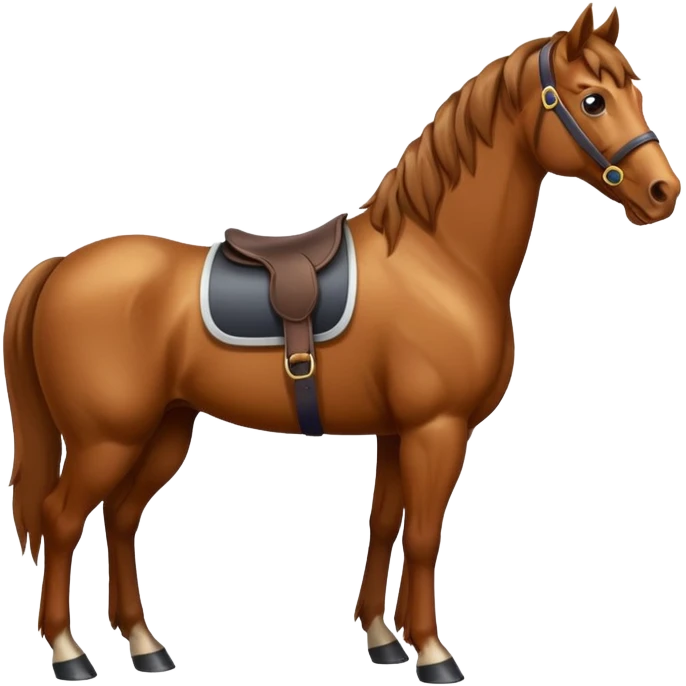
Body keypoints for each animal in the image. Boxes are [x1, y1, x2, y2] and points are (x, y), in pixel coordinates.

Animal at [3, 3, 679, 683]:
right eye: (592, 100)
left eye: (636, 91)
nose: (662, 193)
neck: (440, 258)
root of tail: (58, 267)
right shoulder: (437, 430)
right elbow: (424, 536)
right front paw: (433, 653)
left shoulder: (398, 434)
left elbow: (383, 526)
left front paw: (383, 638)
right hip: (106, 439)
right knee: (63, 519)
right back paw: (68, 652)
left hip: (163, 429)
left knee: (119, 519)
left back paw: (145, 646)